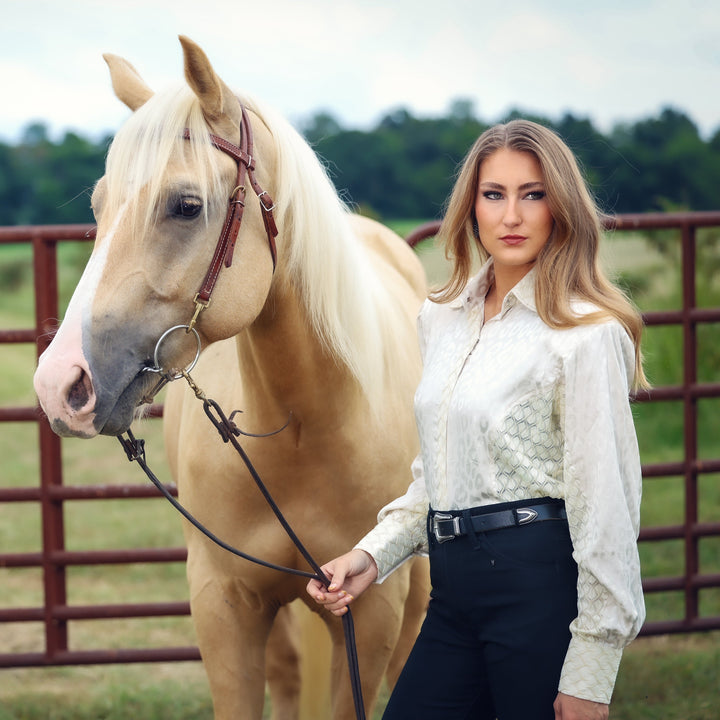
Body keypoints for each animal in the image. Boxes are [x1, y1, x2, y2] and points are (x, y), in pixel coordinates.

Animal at [32, 36, 428, 720]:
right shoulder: (224, 602)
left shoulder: (372, 608)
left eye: (187, 206)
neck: (303, 426)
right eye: (99, 207)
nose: (60, 385)